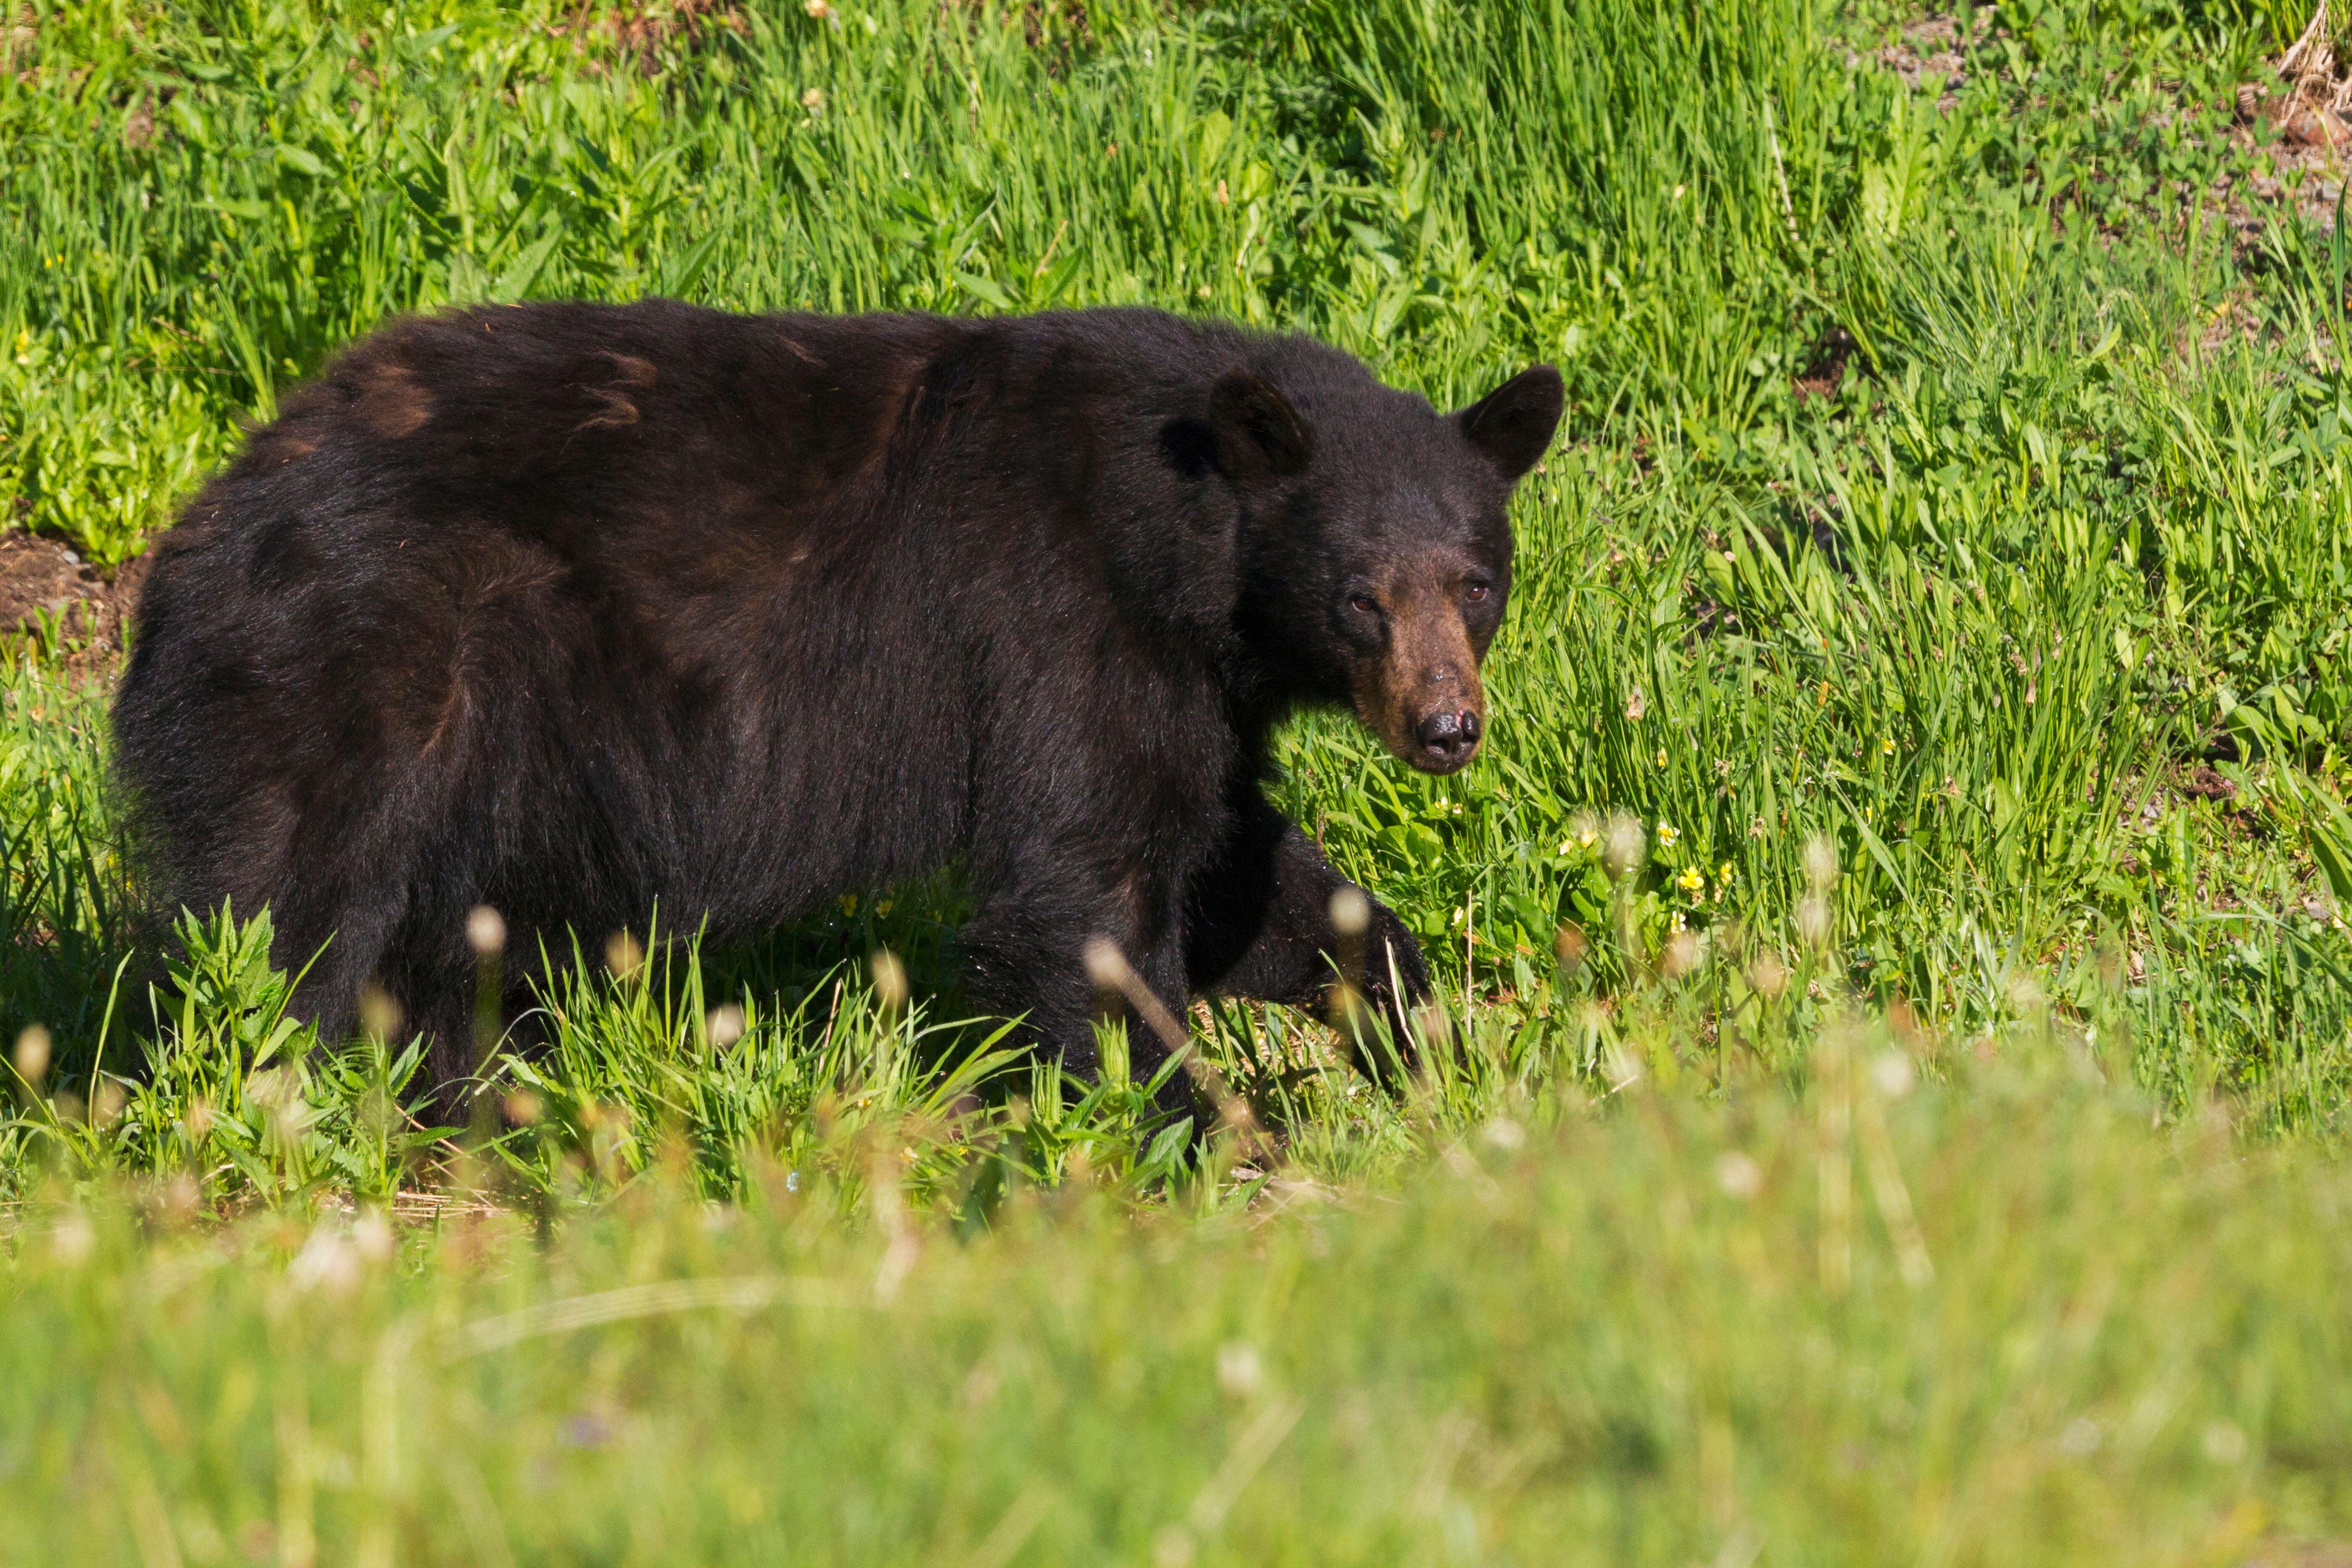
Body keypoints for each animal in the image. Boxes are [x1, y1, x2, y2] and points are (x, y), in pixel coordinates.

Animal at [112, 300, 1562, 1107]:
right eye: (1359, 596)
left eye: (1476, 582)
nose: (1447, 727)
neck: (1183, 545)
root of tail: (202, 523)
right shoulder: (1061, 621)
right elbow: (1088, 885)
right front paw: (1171, 1122)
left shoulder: (1197, 688)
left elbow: (1228, 867)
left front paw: (1414, 1039)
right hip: (364, 666)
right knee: (291, 911)